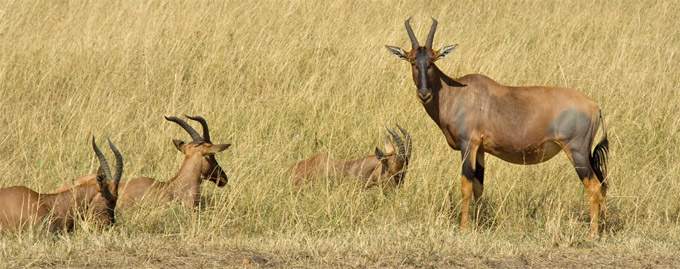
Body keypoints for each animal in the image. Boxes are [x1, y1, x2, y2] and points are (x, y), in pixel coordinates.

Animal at [386, 17, 608, 234]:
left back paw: (593, 233)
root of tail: (595, 106)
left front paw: (463, 229)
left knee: (594, 187)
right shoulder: (481, 150)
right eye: (412, 60)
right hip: (586, 153)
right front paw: (478, 225)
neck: (458, 92)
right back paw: (603, 228)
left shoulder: (468, 145)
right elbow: (478, 186)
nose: (424, 94)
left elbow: (466, 185)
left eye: (432, 60)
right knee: (603, 186)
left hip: (576, 151)